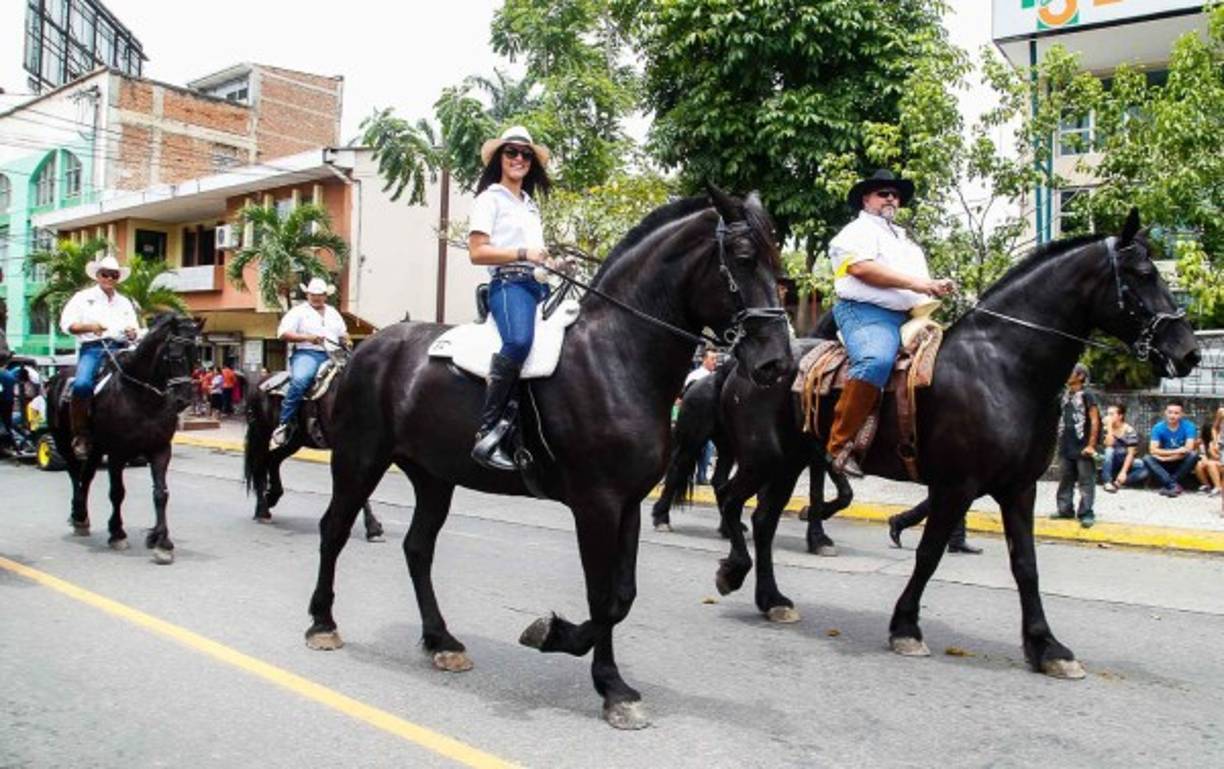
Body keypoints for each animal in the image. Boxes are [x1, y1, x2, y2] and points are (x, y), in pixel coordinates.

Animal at [47, 314, 201, 564]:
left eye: (197, 356)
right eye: (175, 356)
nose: (184, 400)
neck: (142, 397)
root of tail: (56, 377)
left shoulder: (160, 449)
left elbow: (161, 493)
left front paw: (162, 542)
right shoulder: (117, 453)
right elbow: (117, 492)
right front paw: (117, 533)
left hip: (96, 448)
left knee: (86, 477)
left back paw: (83, 518)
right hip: (63, 442)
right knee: (74, 474)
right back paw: (78, 515)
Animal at [243, 345, 384, 541]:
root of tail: (260, 381)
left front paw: (372, 527)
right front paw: (373, 527)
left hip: (294, 441)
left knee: (273, 460)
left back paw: (272, 497)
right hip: (261, 434)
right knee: (260, 467)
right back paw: (262, 510)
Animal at [304, 189, 793, 729]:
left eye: (778, 263)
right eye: (743, 258)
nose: (778, 364)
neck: (617, 356)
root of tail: (363, 349)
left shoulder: (628, 504)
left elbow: (621, 595)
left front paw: (590, 662)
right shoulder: (596, 505)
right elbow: (601, 597)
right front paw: (592, 670)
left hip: (433, 477)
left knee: (417, 549)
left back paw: (441, 640)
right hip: (359, 459)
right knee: (334, 530)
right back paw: (322, 623)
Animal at [714, 209, 1199, 676]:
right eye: (1142, 273)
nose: (1189, 352)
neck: (1003, 367)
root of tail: (746, 363)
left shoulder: (1018, 488)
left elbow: (1025, 565)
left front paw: (1046, 647)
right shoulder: (955, 487)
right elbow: (929, 554)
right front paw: (905, 627)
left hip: (788, 463)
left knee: (763, 520)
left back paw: (772, 600)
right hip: (763, 458)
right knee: (730, 499)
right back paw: (733, 571)